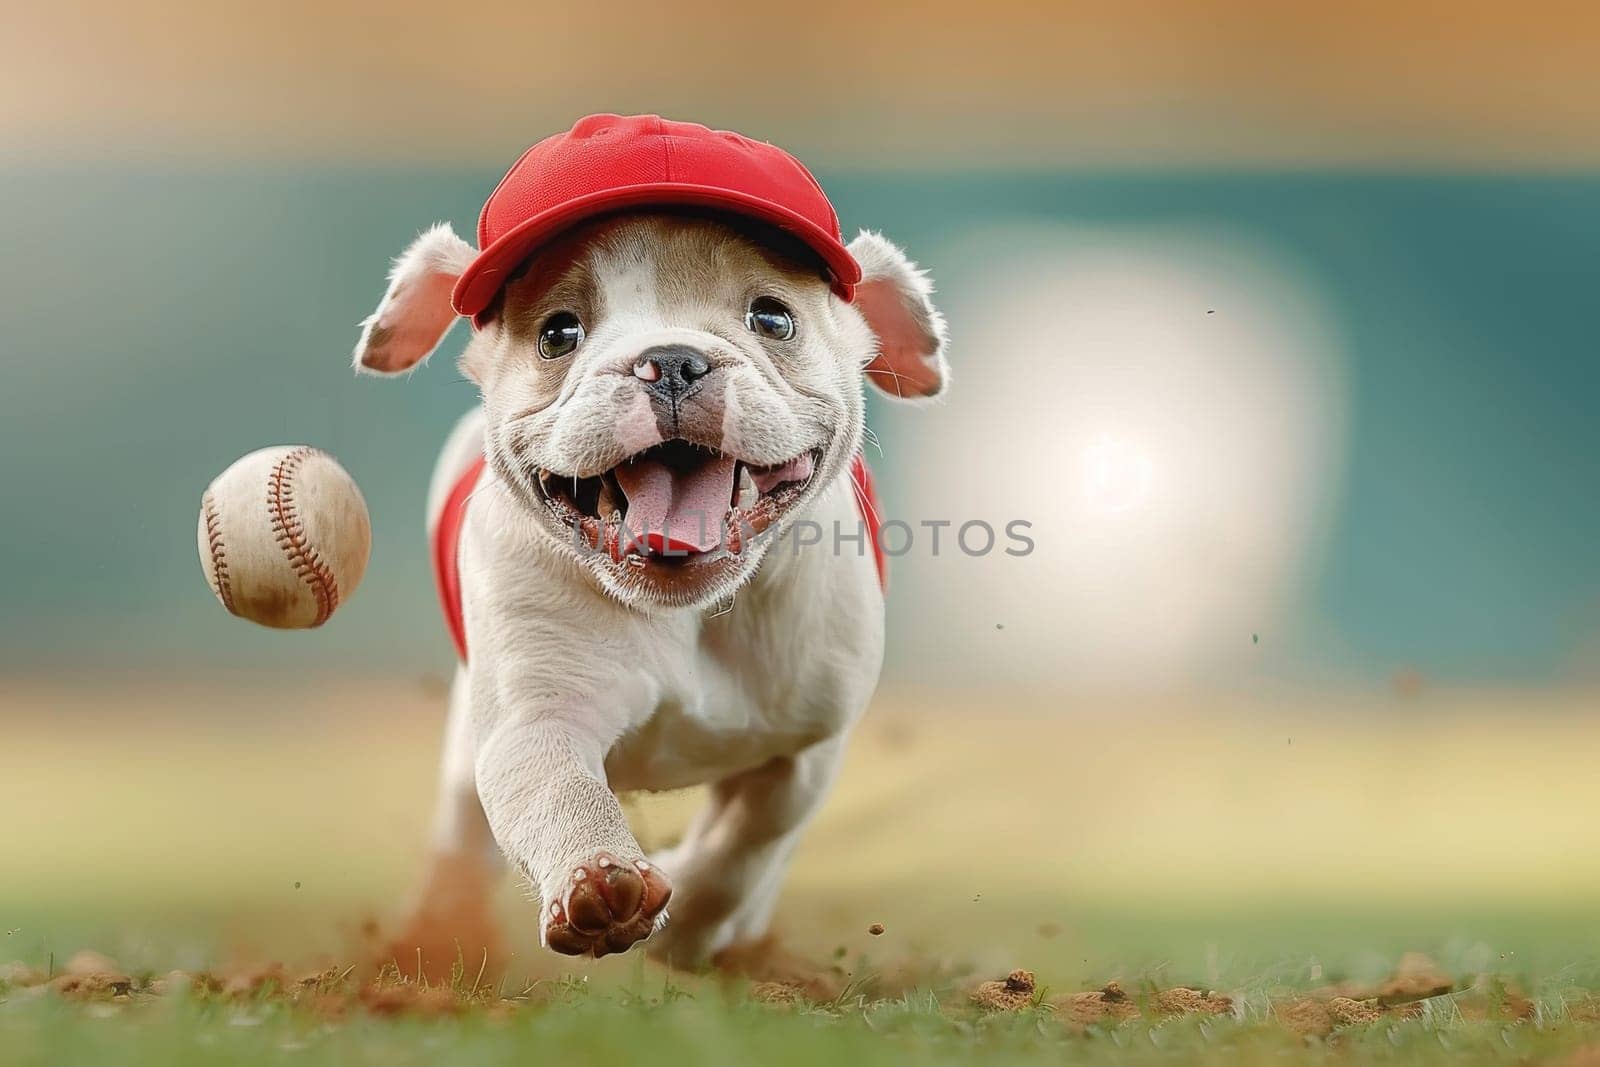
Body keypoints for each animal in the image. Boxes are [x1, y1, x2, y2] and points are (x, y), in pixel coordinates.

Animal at [353, 119, 947, 966]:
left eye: (774, 319)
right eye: (558, 333)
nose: (669, 360)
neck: (688, 610)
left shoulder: (802, 746)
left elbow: (746, 845)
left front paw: (692, 921)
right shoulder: (537, 718)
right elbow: (558, 790)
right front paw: (600, 880)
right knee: (459, 828)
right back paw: (437, 931)